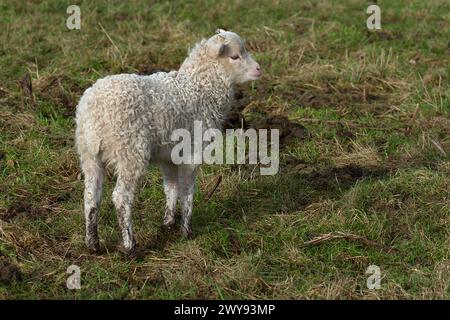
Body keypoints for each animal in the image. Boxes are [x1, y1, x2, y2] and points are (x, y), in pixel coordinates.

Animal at [75, 30, 262, 255]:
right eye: (234, 56)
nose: (259, 69)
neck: (199, 89)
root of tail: (94, 110)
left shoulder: (170, 156)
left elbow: (171, 187)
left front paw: (168, 223)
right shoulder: (192, 152)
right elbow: (187, 192)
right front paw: (186, 231)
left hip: (89, 154)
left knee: (90, 196)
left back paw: (93, 243)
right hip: (130, 152)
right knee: (121, 198)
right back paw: (130, 246)